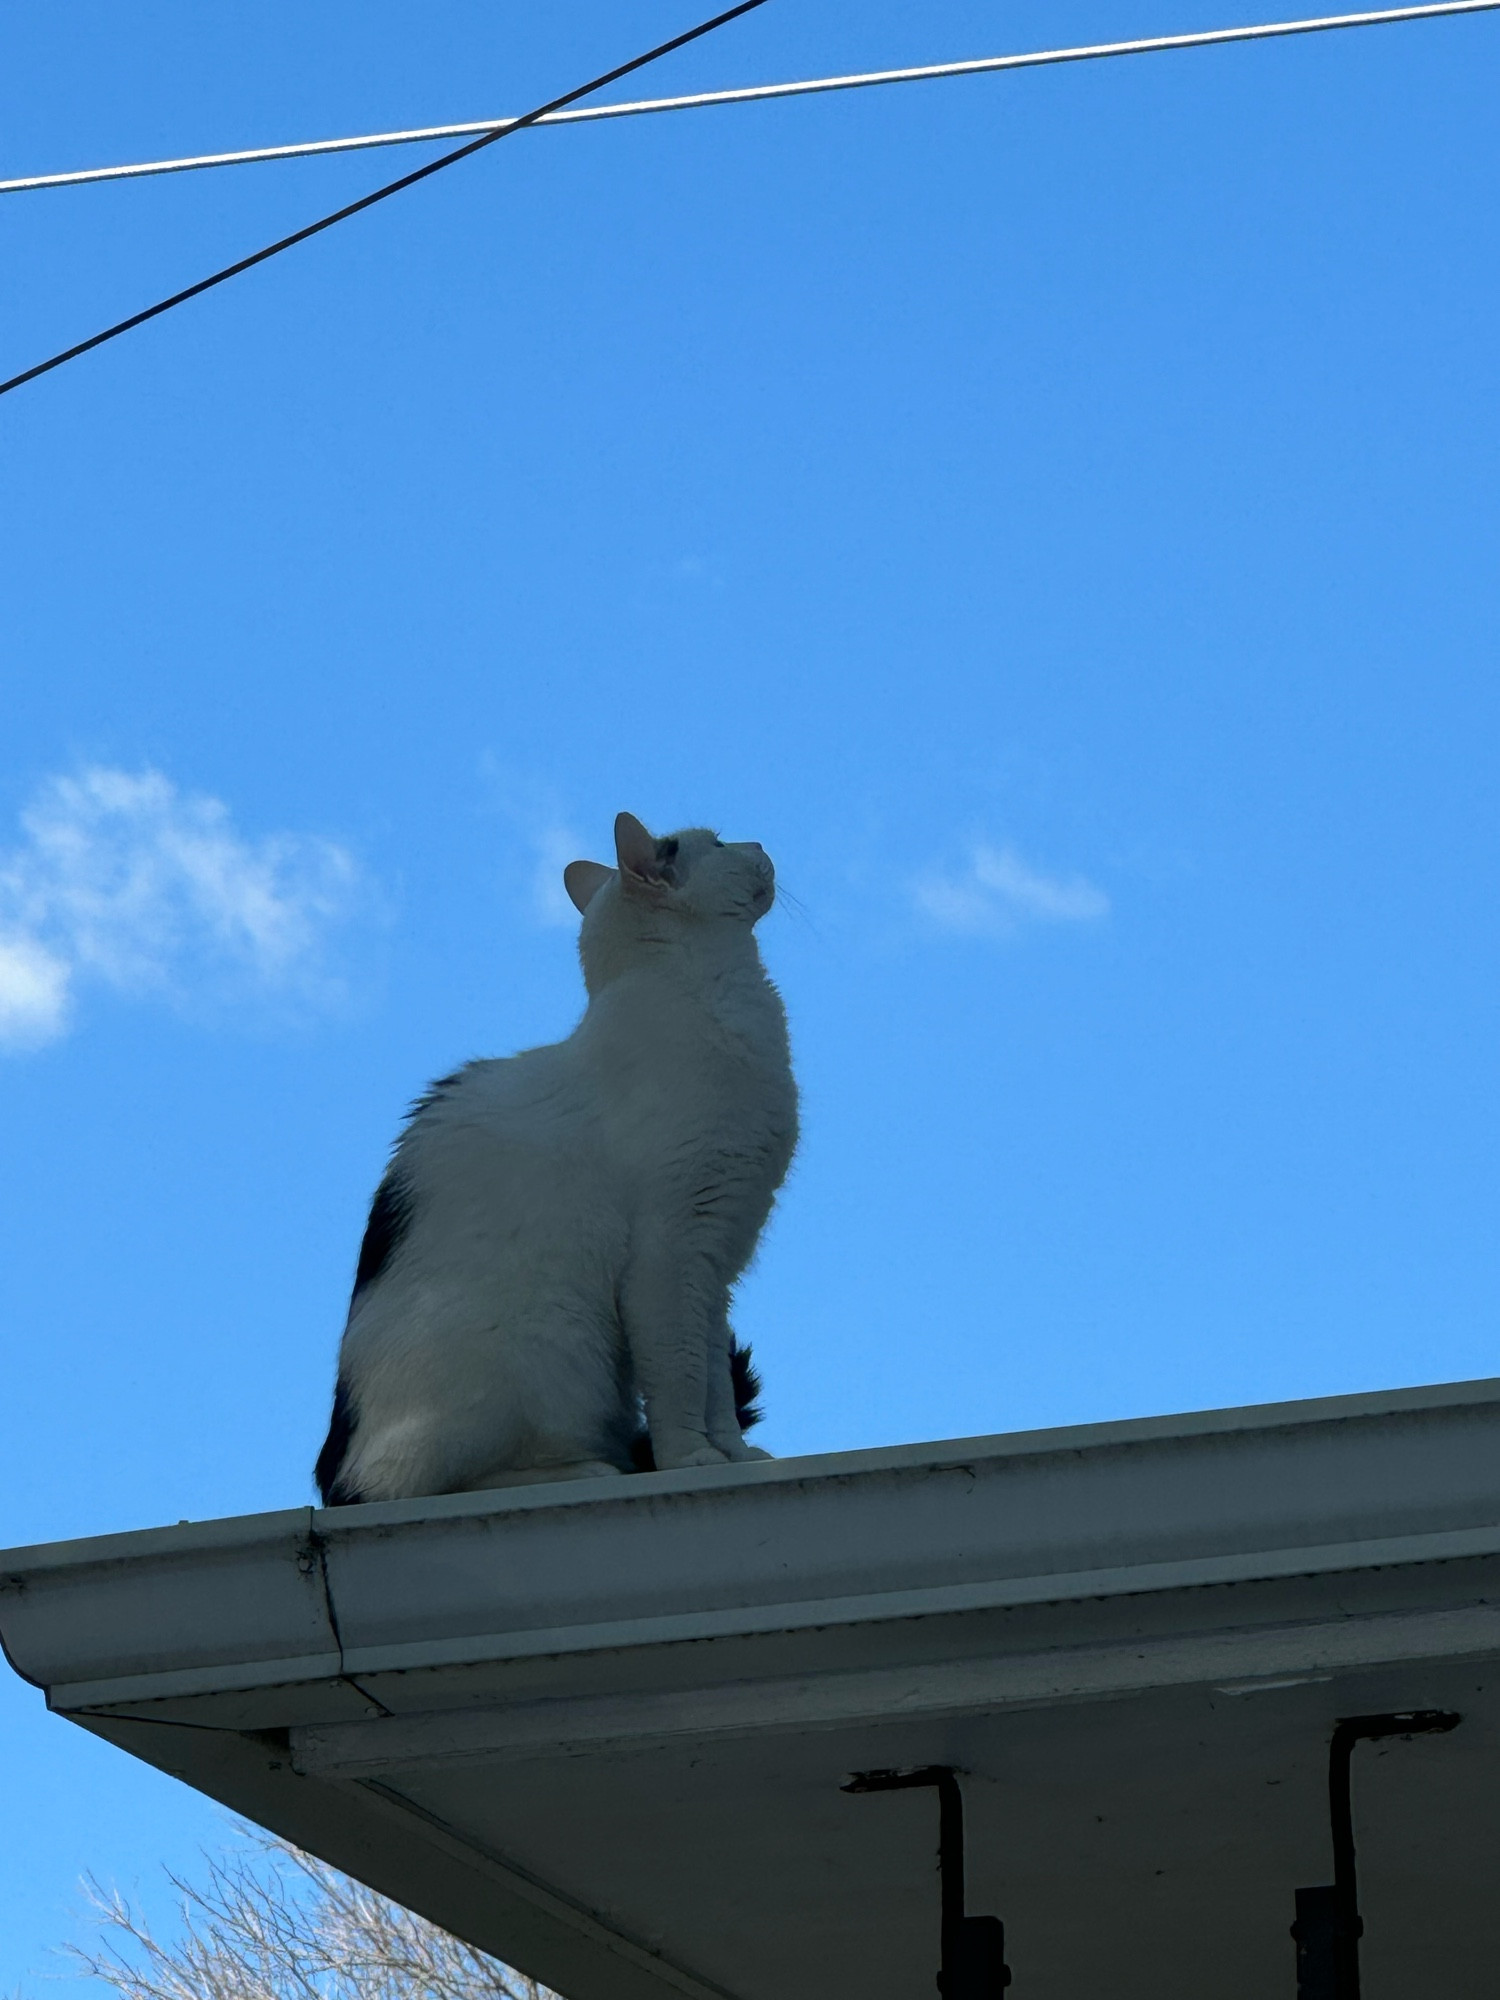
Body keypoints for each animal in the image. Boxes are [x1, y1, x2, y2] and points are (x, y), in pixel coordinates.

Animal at [314, 812, 800, 1504]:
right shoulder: (668, 1260)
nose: (758, 842)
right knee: (443, 1482)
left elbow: (713, 1384)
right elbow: (680, 1379)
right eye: (718, 842)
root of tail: (337, 1479)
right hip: (557, 1347)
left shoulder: (712, 1267)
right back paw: (588, 1469)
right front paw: (689, 1460)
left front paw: (732, 1454)